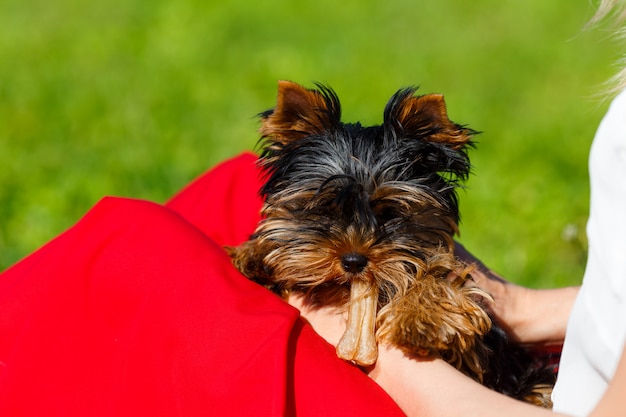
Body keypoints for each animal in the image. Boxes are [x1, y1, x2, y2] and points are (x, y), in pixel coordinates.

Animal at [228, 80, 552, 406]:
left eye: (391, 214)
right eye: (325, 209)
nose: (353, 260)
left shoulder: (480, 352)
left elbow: (439, 276)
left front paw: (423, 315)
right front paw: (255, 253)